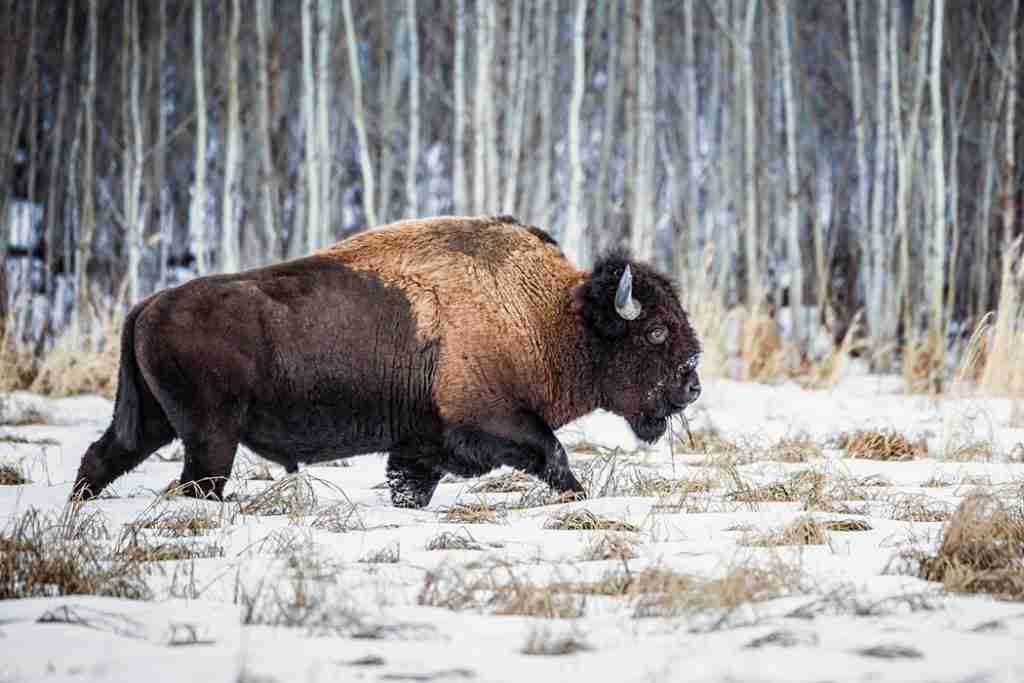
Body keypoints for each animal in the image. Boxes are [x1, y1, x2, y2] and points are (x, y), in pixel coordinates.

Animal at [73, 215, 702, 507]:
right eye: (655, 331)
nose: (692, 382)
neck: (549, 313)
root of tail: (148, 304)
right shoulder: (491, 421)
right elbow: (555, 455)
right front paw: (579, 498)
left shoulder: (421, 448)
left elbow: (410, 484)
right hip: (210, 436)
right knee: (194, 481)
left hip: (154, 422)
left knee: (102, 457)